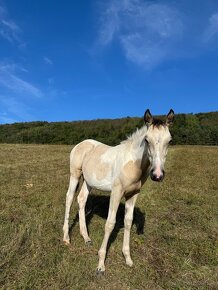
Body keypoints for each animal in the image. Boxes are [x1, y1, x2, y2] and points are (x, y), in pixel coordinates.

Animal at [62, 109, 174, 274]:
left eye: (170, 141)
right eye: (147, 140)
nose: (157, 175)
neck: (133, 164)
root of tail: (81, 144)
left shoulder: (133, 194)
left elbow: (128, 221)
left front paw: (128, 258)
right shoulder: (116, 192)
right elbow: (110, 224)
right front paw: (101, 264)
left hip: (88, 181)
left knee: (81, 199)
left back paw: (86, 238)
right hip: (75, 174)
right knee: (69, 198)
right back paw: (66, 238)